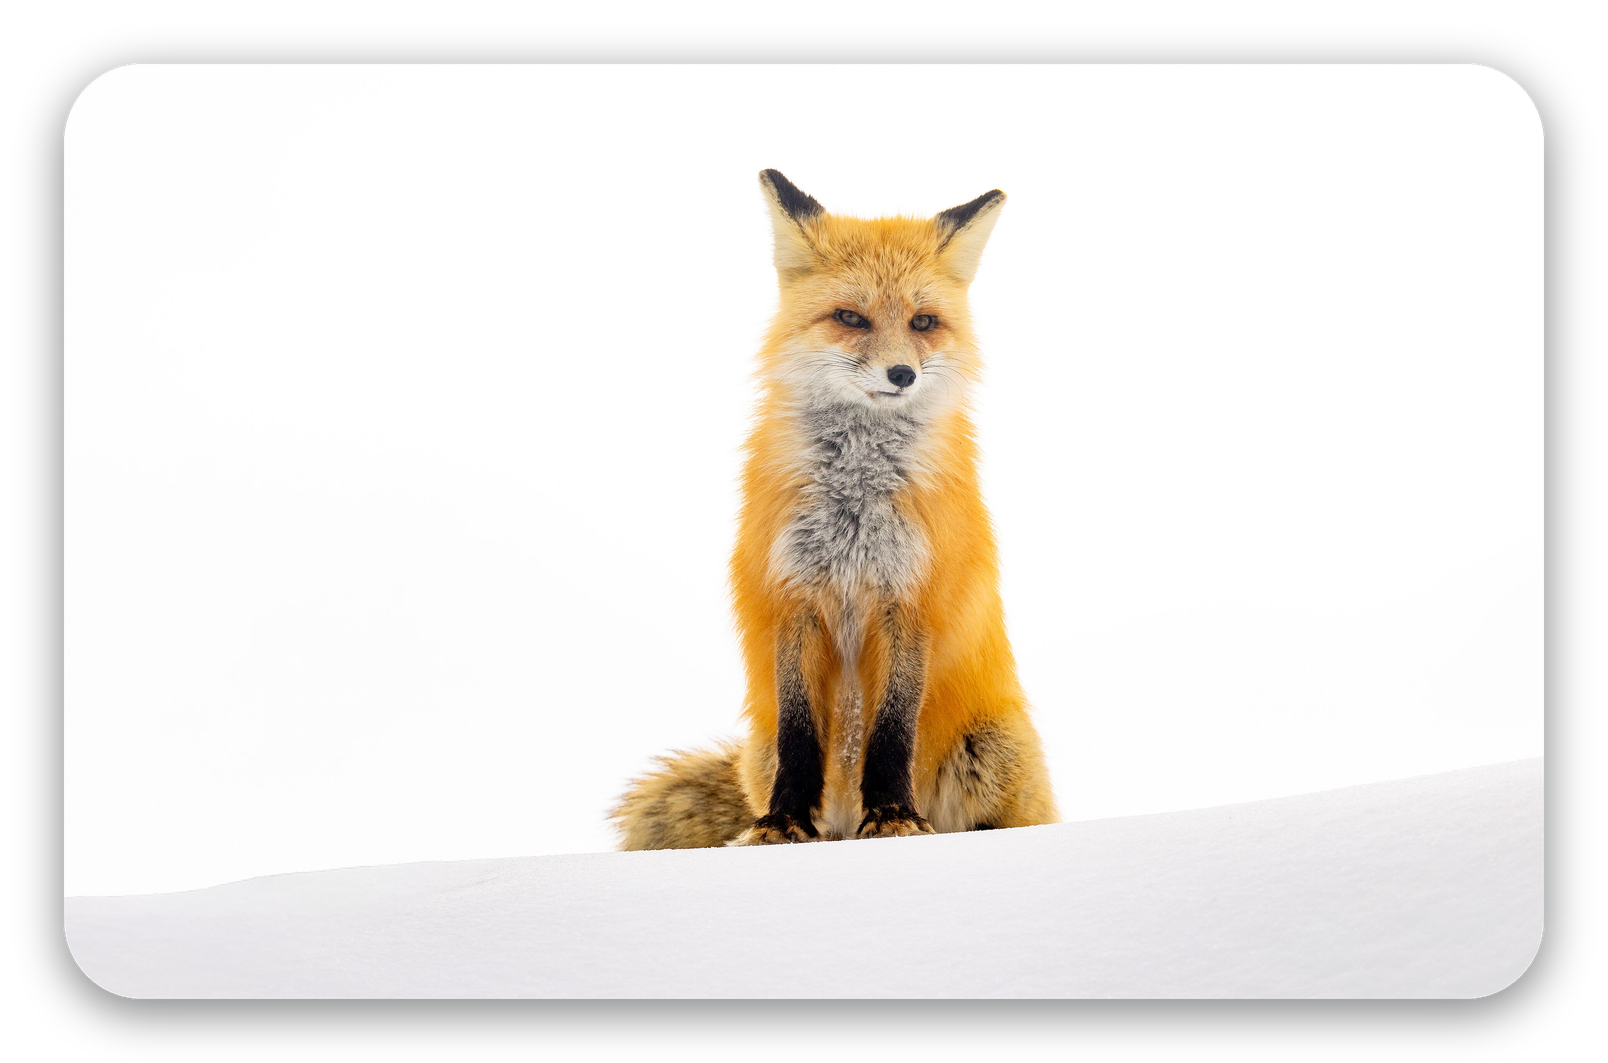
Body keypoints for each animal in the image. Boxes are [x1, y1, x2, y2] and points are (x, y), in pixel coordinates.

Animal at [611, 170, 1059, 849]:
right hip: (760, 749)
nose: (902, 374)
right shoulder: (792, 596)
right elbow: (802, 739)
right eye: (851, 317)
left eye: (923, 321)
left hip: (990, 750)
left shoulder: (911, 598)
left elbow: (892, 731)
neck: (855, 500)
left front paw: (894, 816)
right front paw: (782, 823)